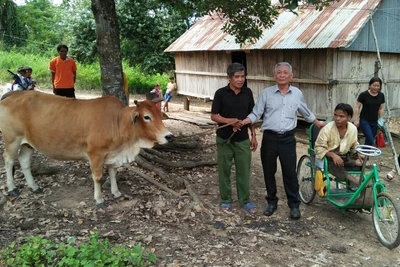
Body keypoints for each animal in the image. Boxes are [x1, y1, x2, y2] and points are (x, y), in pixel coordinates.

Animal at [0, 90, 173, 207]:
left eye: (160, 115)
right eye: (146, 117)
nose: (169, 136)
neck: (117, 122)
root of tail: (12, 95)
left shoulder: (112, 154)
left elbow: (113, 173)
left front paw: (116, 192)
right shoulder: (95, 154)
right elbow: (97, 177)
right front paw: (99, 199)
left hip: (27, 143)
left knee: (24, 162)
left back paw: (34, 187)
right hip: (12, 139)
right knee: (8, 161)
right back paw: (12, 188)